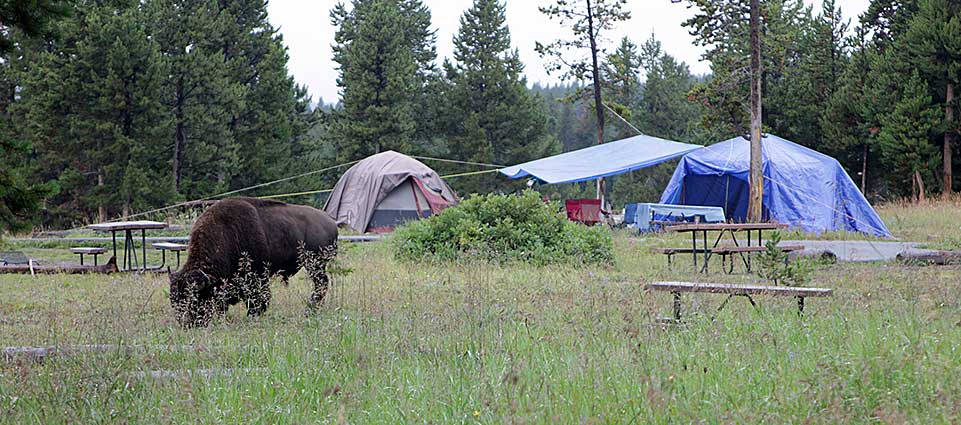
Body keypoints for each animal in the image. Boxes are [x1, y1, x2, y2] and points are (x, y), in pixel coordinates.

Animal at [169, 197, 338, 326]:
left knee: (321, 283)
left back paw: (310, 309)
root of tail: (330, 221)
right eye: (174, 299)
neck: (225, 233)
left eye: (195, 298)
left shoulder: (257, 277)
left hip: (315, 264)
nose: (186, 323)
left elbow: (259, 299)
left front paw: (253, 314)